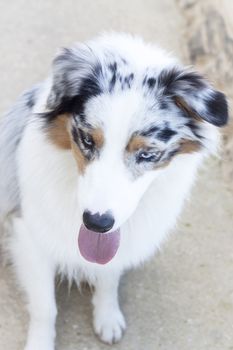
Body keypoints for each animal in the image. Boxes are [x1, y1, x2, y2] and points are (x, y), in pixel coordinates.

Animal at [0, 32, 228, 348]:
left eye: (147, 154)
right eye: (87, 140)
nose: (97, 222)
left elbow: (109, 278)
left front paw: (107, 317)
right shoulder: (31, 236)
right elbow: (46, 307)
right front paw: (40, 343)